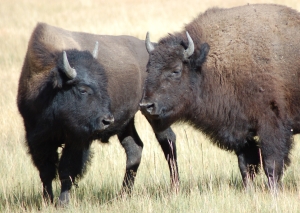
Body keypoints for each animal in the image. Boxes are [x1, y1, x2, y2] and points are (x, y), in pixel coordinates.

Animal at [17, 22, 178, 205]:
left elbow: (67, 170)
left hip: (153, 113)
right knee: (134, 148)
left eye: (104, 84)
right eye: (82, 89)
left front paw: (63, 203)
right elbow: (46, 172)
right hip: (127, 122)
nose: (106, 120)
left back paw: (174, 188)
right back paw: (123, 195)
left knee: (167, 141)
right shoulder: (37, 138)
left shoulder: (77, 140)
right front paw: (47, 201)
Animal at [142, 3, 300, 190]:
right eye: (148, 69)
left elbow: (271, 164)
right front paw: (248, 190)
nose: (147, 106)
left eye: (175, 70)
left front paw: (274, 191)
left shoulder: (271, 126)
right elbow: (246, 165)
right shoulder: (240, 132)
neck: (208, 65)